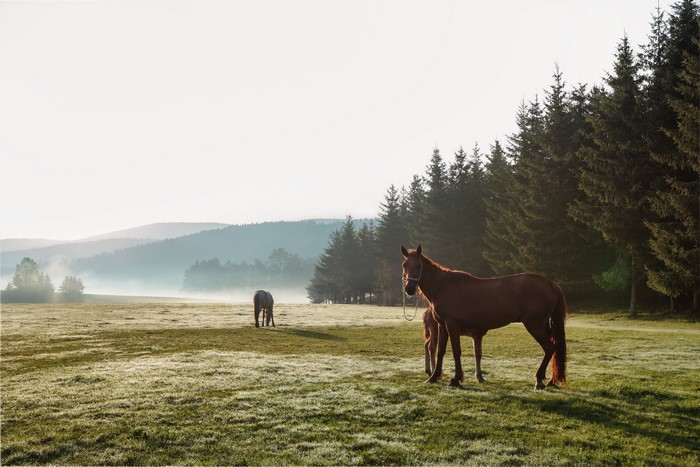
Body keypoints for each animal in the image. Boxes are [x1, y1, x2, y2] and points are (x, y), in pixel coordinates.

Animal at [402, 244, 567, 390]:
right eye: (404, 265)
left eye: (418, 265)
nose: (409, 289)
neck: (444, 287)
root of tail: (550, 284)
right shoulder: (442, 325)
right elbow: (440, 351)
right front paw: (433, 377)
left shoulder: (452, 325)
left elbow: (456, 351)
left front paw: (456, 379)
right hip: (543, 325)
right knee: (552, 349)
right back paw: (550, 380)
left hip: (535, 325)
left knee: (549, 348)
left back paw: (539, 380)